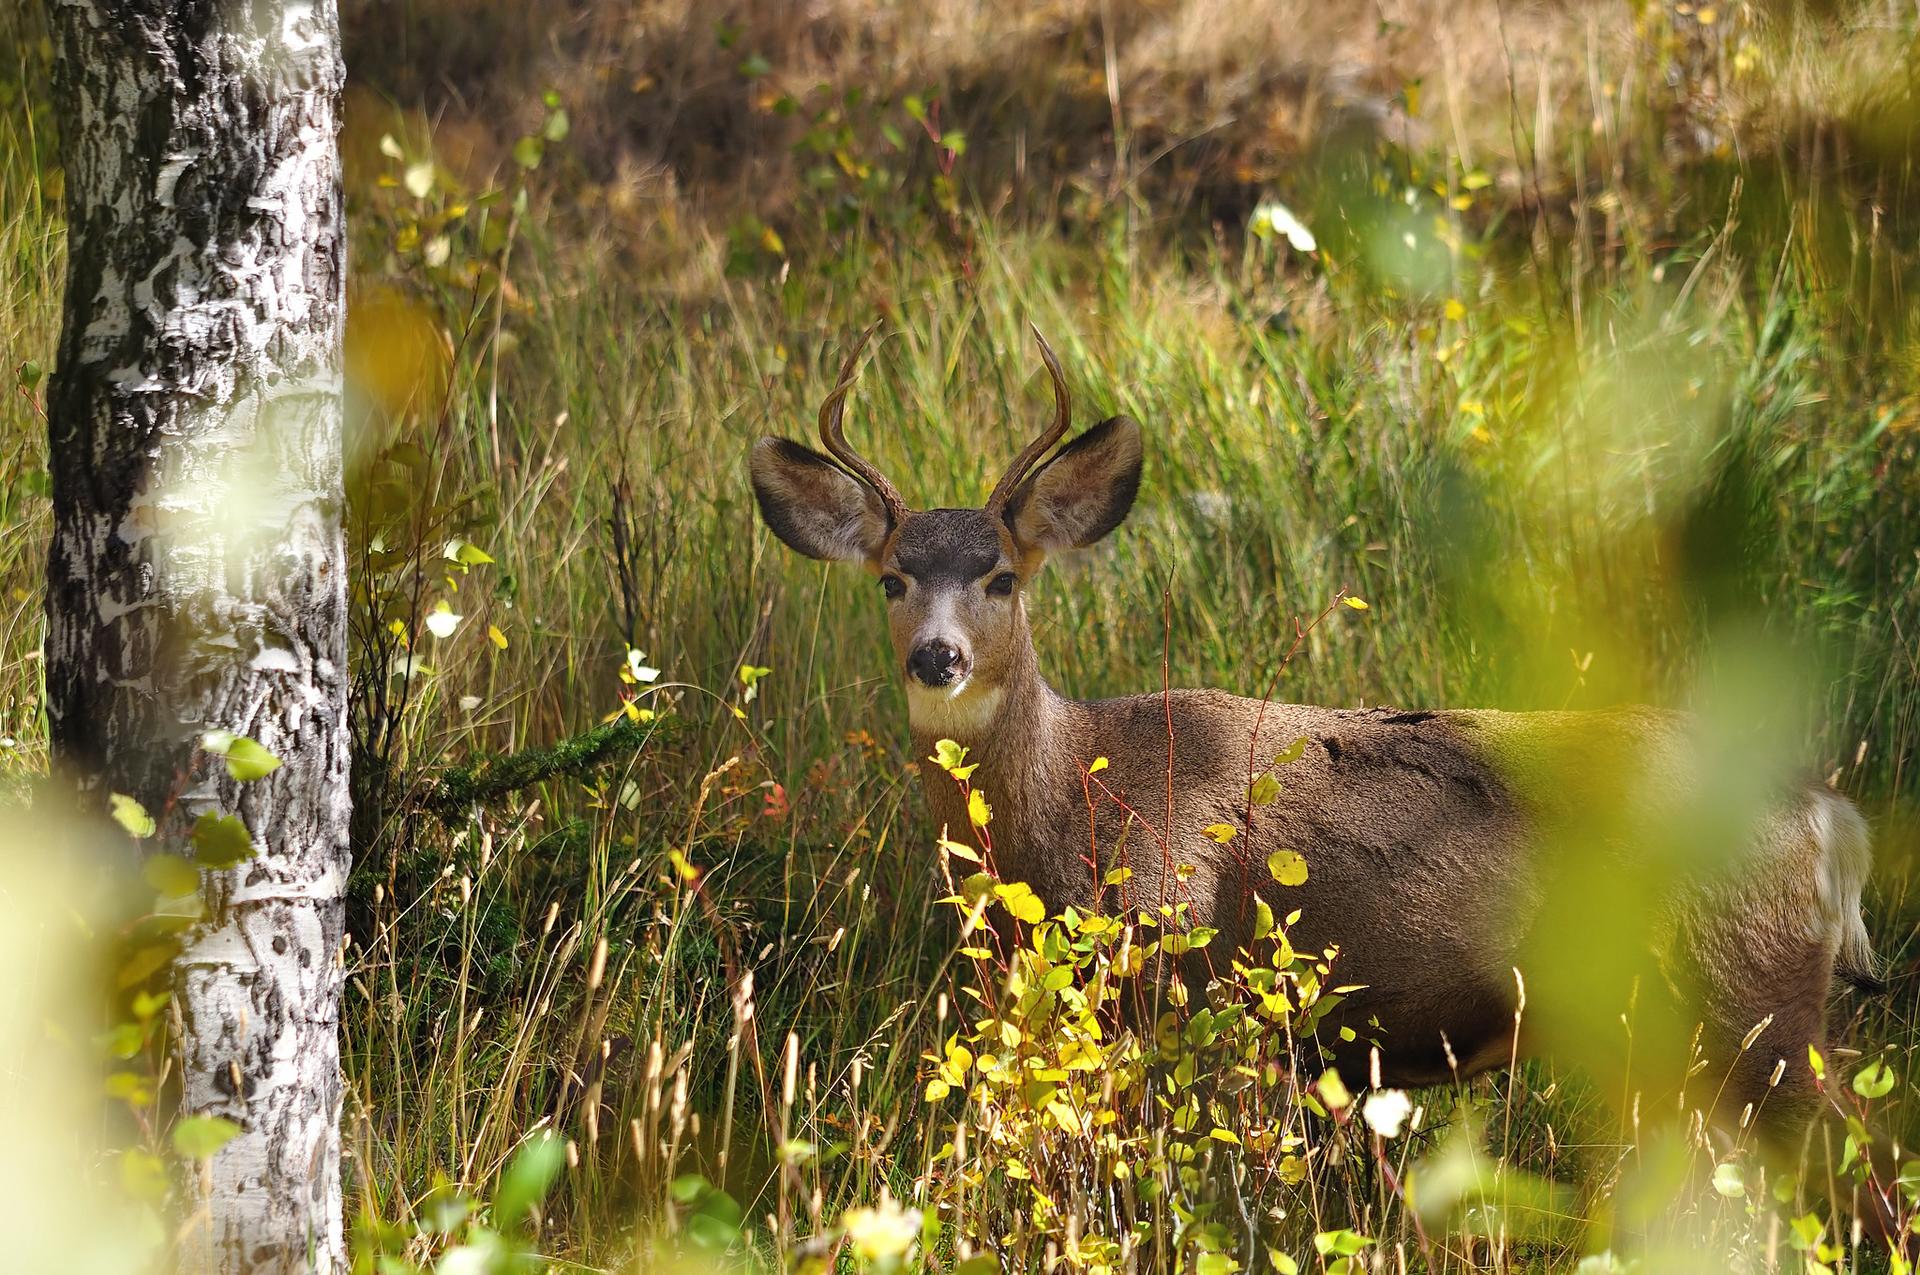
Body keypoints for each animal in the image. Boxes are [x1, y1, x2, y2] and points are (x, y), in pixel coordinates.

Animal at [748, 326, 1881, 1153]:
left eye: (1001, 577)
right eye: (891, 577)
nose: (935, 656)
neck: (1072, 793)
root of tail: (1828, 816)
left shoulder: (1173, 959)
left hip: (1752, 996)